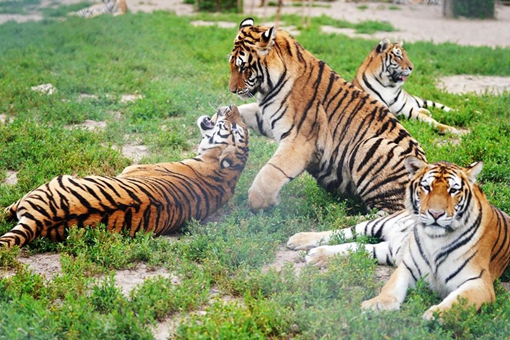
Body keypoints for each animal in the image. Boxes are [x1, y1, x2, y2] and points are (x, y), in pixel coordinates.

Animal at [0, 105, 248, 248]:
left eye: (234, 127)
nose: (232, 105)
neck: (224, 173)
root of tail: (39, 220)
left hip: (46, 185)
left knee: (7, 209)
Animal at [229, 17, 424, 212]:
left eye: (243, 67)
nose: (232, 90)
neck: (269, 88)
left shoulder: (299, 141)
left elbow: (270, 173)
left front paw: (262, 203)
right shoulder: (268, 118)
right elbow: (244, 110)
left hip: (370, 145)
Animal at [288, 157, 510, 322]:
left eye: (453, 190)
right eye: (426, 187)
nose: (435, 214)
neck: (435, 238)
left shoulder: (479, 282)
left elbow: (459, 300)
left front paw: (436, 315)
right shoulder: (408, 266)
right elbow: (391, 287)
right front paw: (377, 304)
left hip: (384, 251)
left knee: (355, 247)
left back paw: (317, 255)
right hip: (377, 224)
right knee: (344, 232)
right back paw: (300, 239)